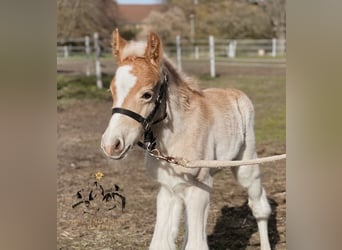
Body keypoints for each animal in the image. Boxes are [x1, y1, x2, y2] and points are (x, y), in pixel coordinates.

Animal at [101, 29, 272, 250]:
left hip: (246, 165)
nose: (111, 145)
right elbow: (161, 243)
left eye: (147, 94)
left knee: (259, 206)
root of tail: (235, 92)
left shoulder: (198, 189)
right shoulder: (167, 188)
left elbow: (196, 244)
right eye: (111, 91)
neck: (176, 137)